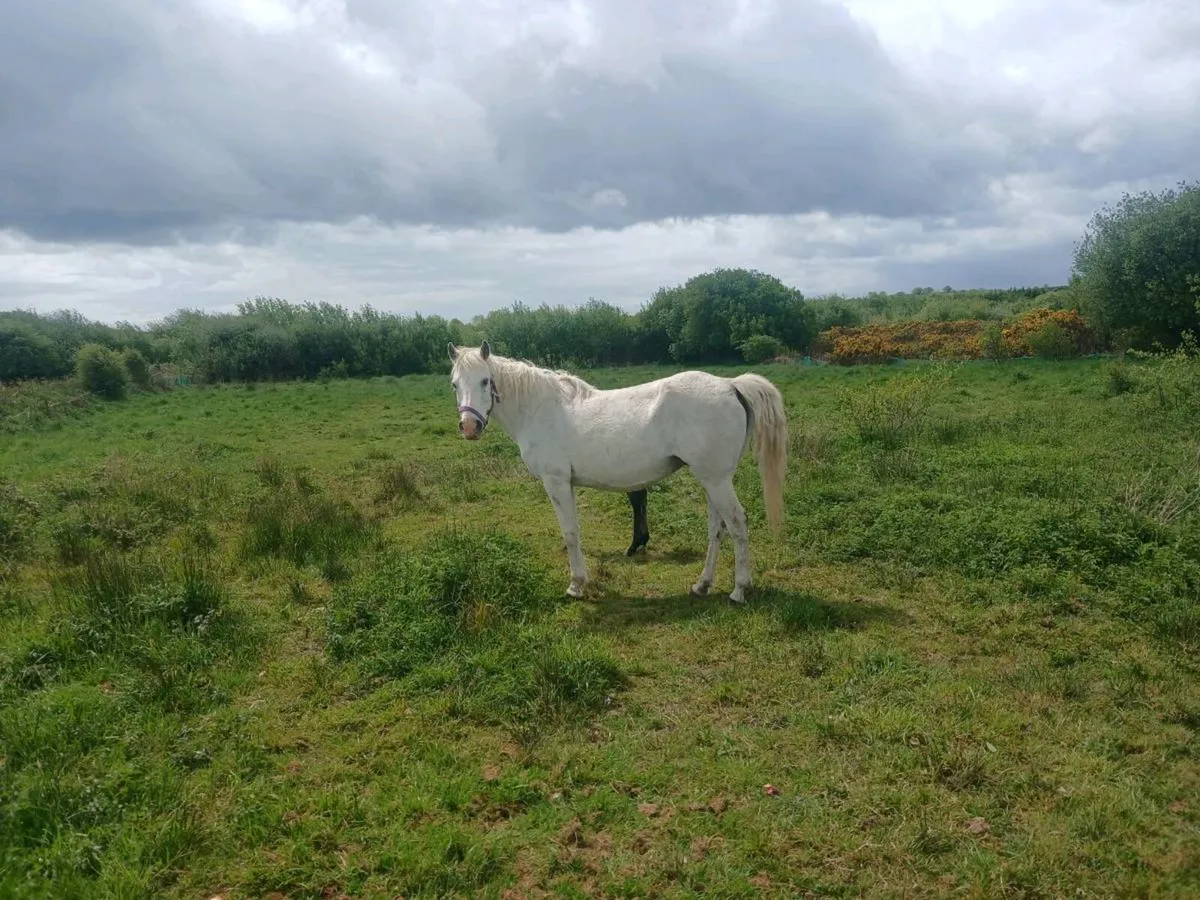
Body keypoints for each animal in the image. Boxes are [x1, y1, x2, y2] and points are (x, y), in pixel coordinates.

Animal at [447, 341, 788, 605]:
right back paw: (702, 585)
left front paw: (576, 585)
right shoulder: (567, 484)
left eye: (485, 381)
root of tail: (731, 385)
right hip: (711, 479)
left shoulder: (556, 481)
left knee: (737, 523)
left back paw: (739, 590)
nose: (469, 427)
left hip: (716, 479)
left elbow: (570, 533)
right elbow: (574, 531)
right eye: (454, 384)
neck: (539, 409)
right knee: (717, 529)